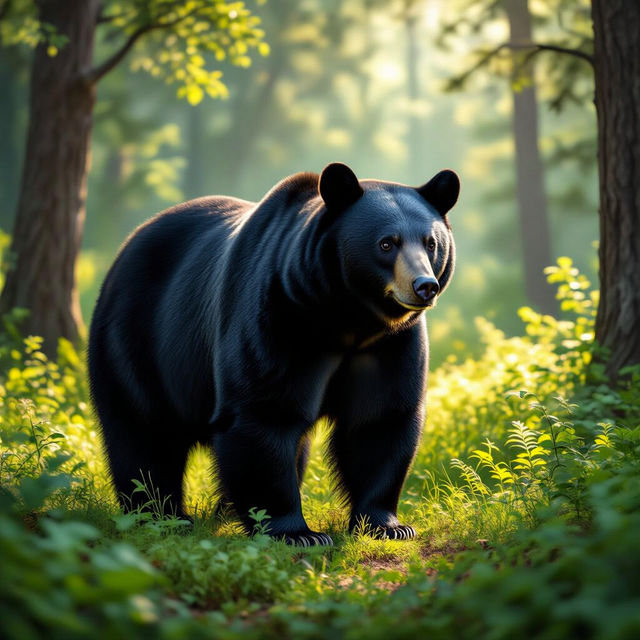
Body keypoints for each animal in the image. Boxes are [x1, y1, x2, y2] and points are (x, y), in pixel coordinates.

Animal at [88, 162, 459, 546]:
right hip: (137, 339)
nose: (424, 286)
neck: (348, 318)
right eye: (387, 243)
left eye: (431, 243)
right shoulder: (279, 314)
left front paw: (388, 525)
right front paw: (298, 532)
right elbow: (265, 412)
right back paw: (161, 515)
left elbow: (380, 420)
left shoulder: (390, 344)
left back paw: (220, 510)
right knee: (143, 430)